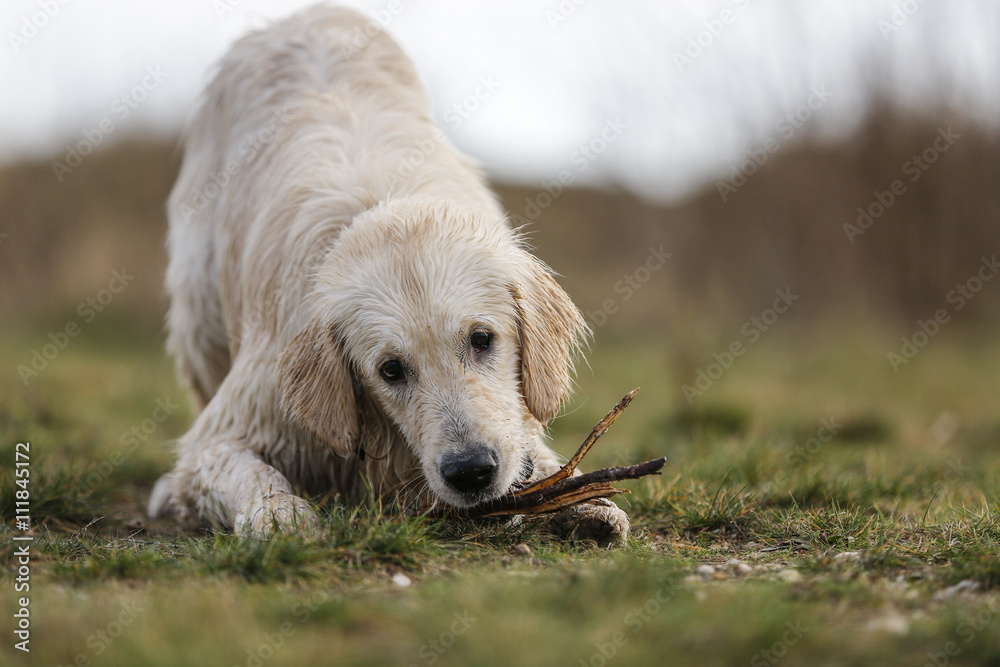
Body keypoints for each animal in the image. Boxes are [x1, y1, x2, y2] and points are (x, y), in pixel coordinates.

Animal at [148, 5, 628, 544]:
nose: (471, 472)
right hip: (199, 309)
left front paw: (586, 500)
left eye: (482, 339)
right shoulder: (240, 419)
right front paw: (278, 513)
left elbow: (539, 454)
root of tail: (306, 13)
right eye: (390, 370)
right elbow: (246, 470)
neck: (384, 204)